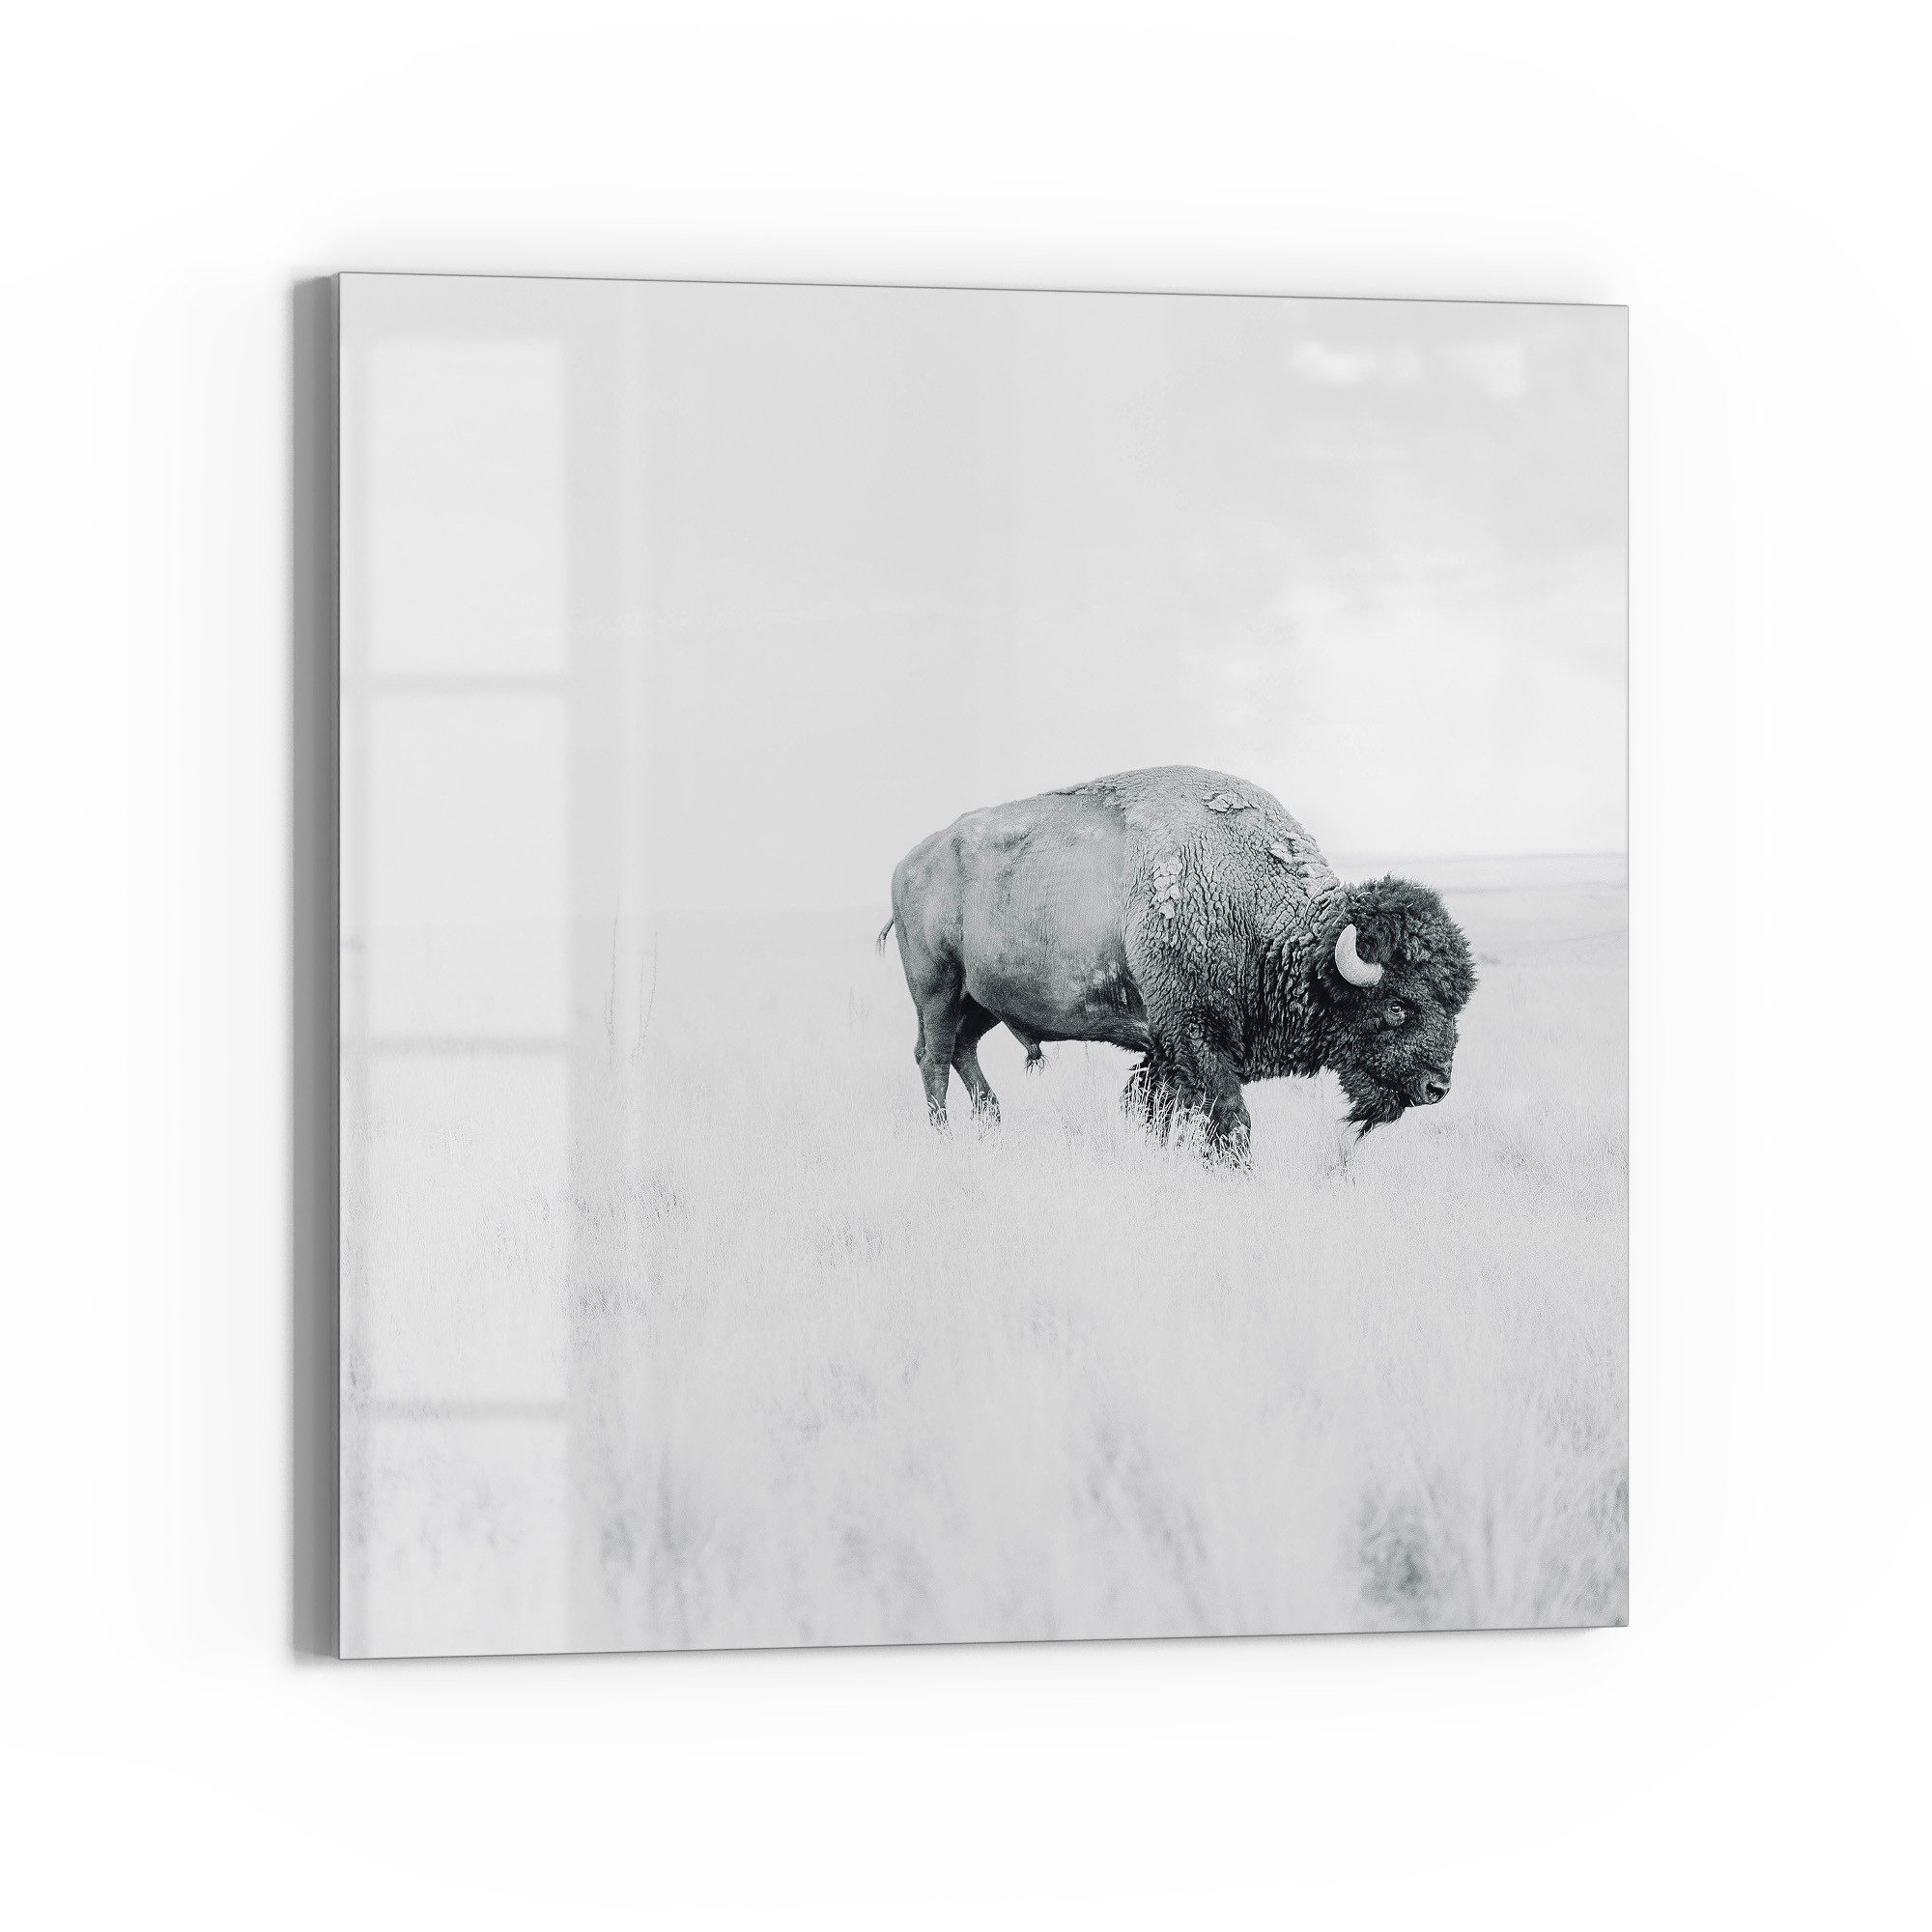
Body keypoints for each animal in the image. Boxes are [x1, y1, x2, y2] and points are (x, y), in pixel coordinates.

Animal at [879, 766, 1475, 1160]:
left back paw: (993, 1126)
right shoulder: (1195, 1037)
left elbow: (1156, 1110)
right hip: (938, 990)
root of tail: (910, 861)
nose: (1437, 1087)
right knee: (934, 1059)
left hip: (982, 1002)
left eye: (1455, 1004)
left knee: (963, 1051)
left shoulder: (1167, 1052)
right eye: (1397, 1005)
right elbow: (1229, 1117)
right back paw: (945, 1138)